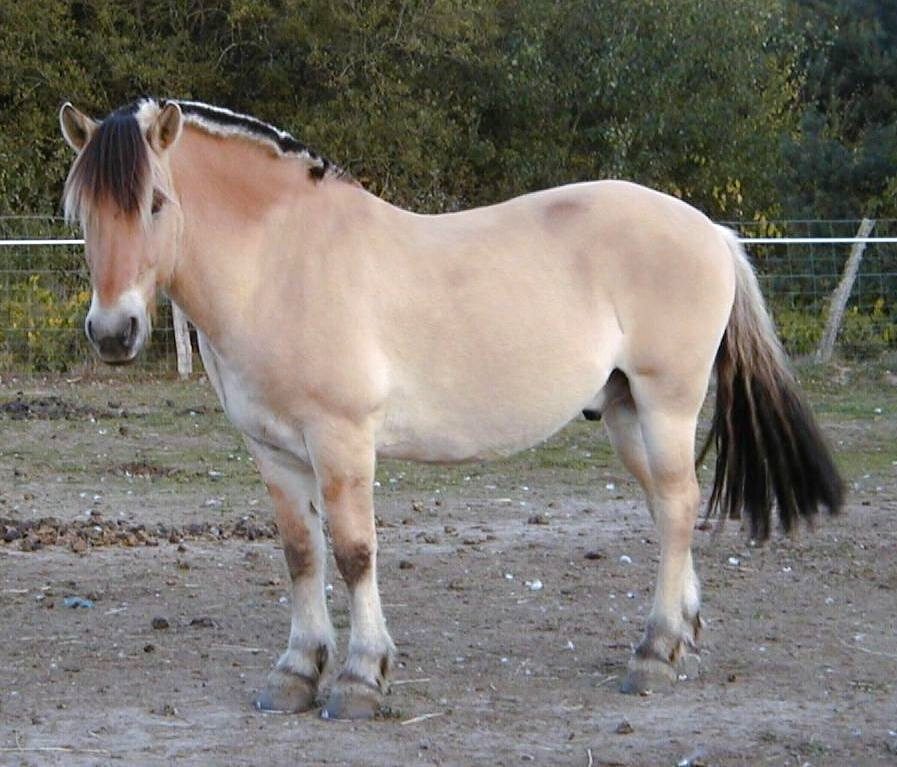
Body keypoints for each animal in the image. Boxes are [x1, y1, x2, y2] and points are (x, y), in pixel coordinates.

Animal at [59, 98, 843, 720]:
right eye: (84, 211)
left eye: (155, 203)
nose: (113, 332)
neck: (282, 264)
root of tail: (713, 231)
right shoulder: (273, 450)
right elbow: (300, 555)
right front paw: (295, 674)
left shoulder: (341, 440)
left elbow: (354, 553)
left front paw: (359, 678)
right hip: (625, 413)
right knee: (665, 508)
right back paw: (679, 637)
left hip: (665, 402)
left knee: (678, 508)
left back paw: (651, 655)